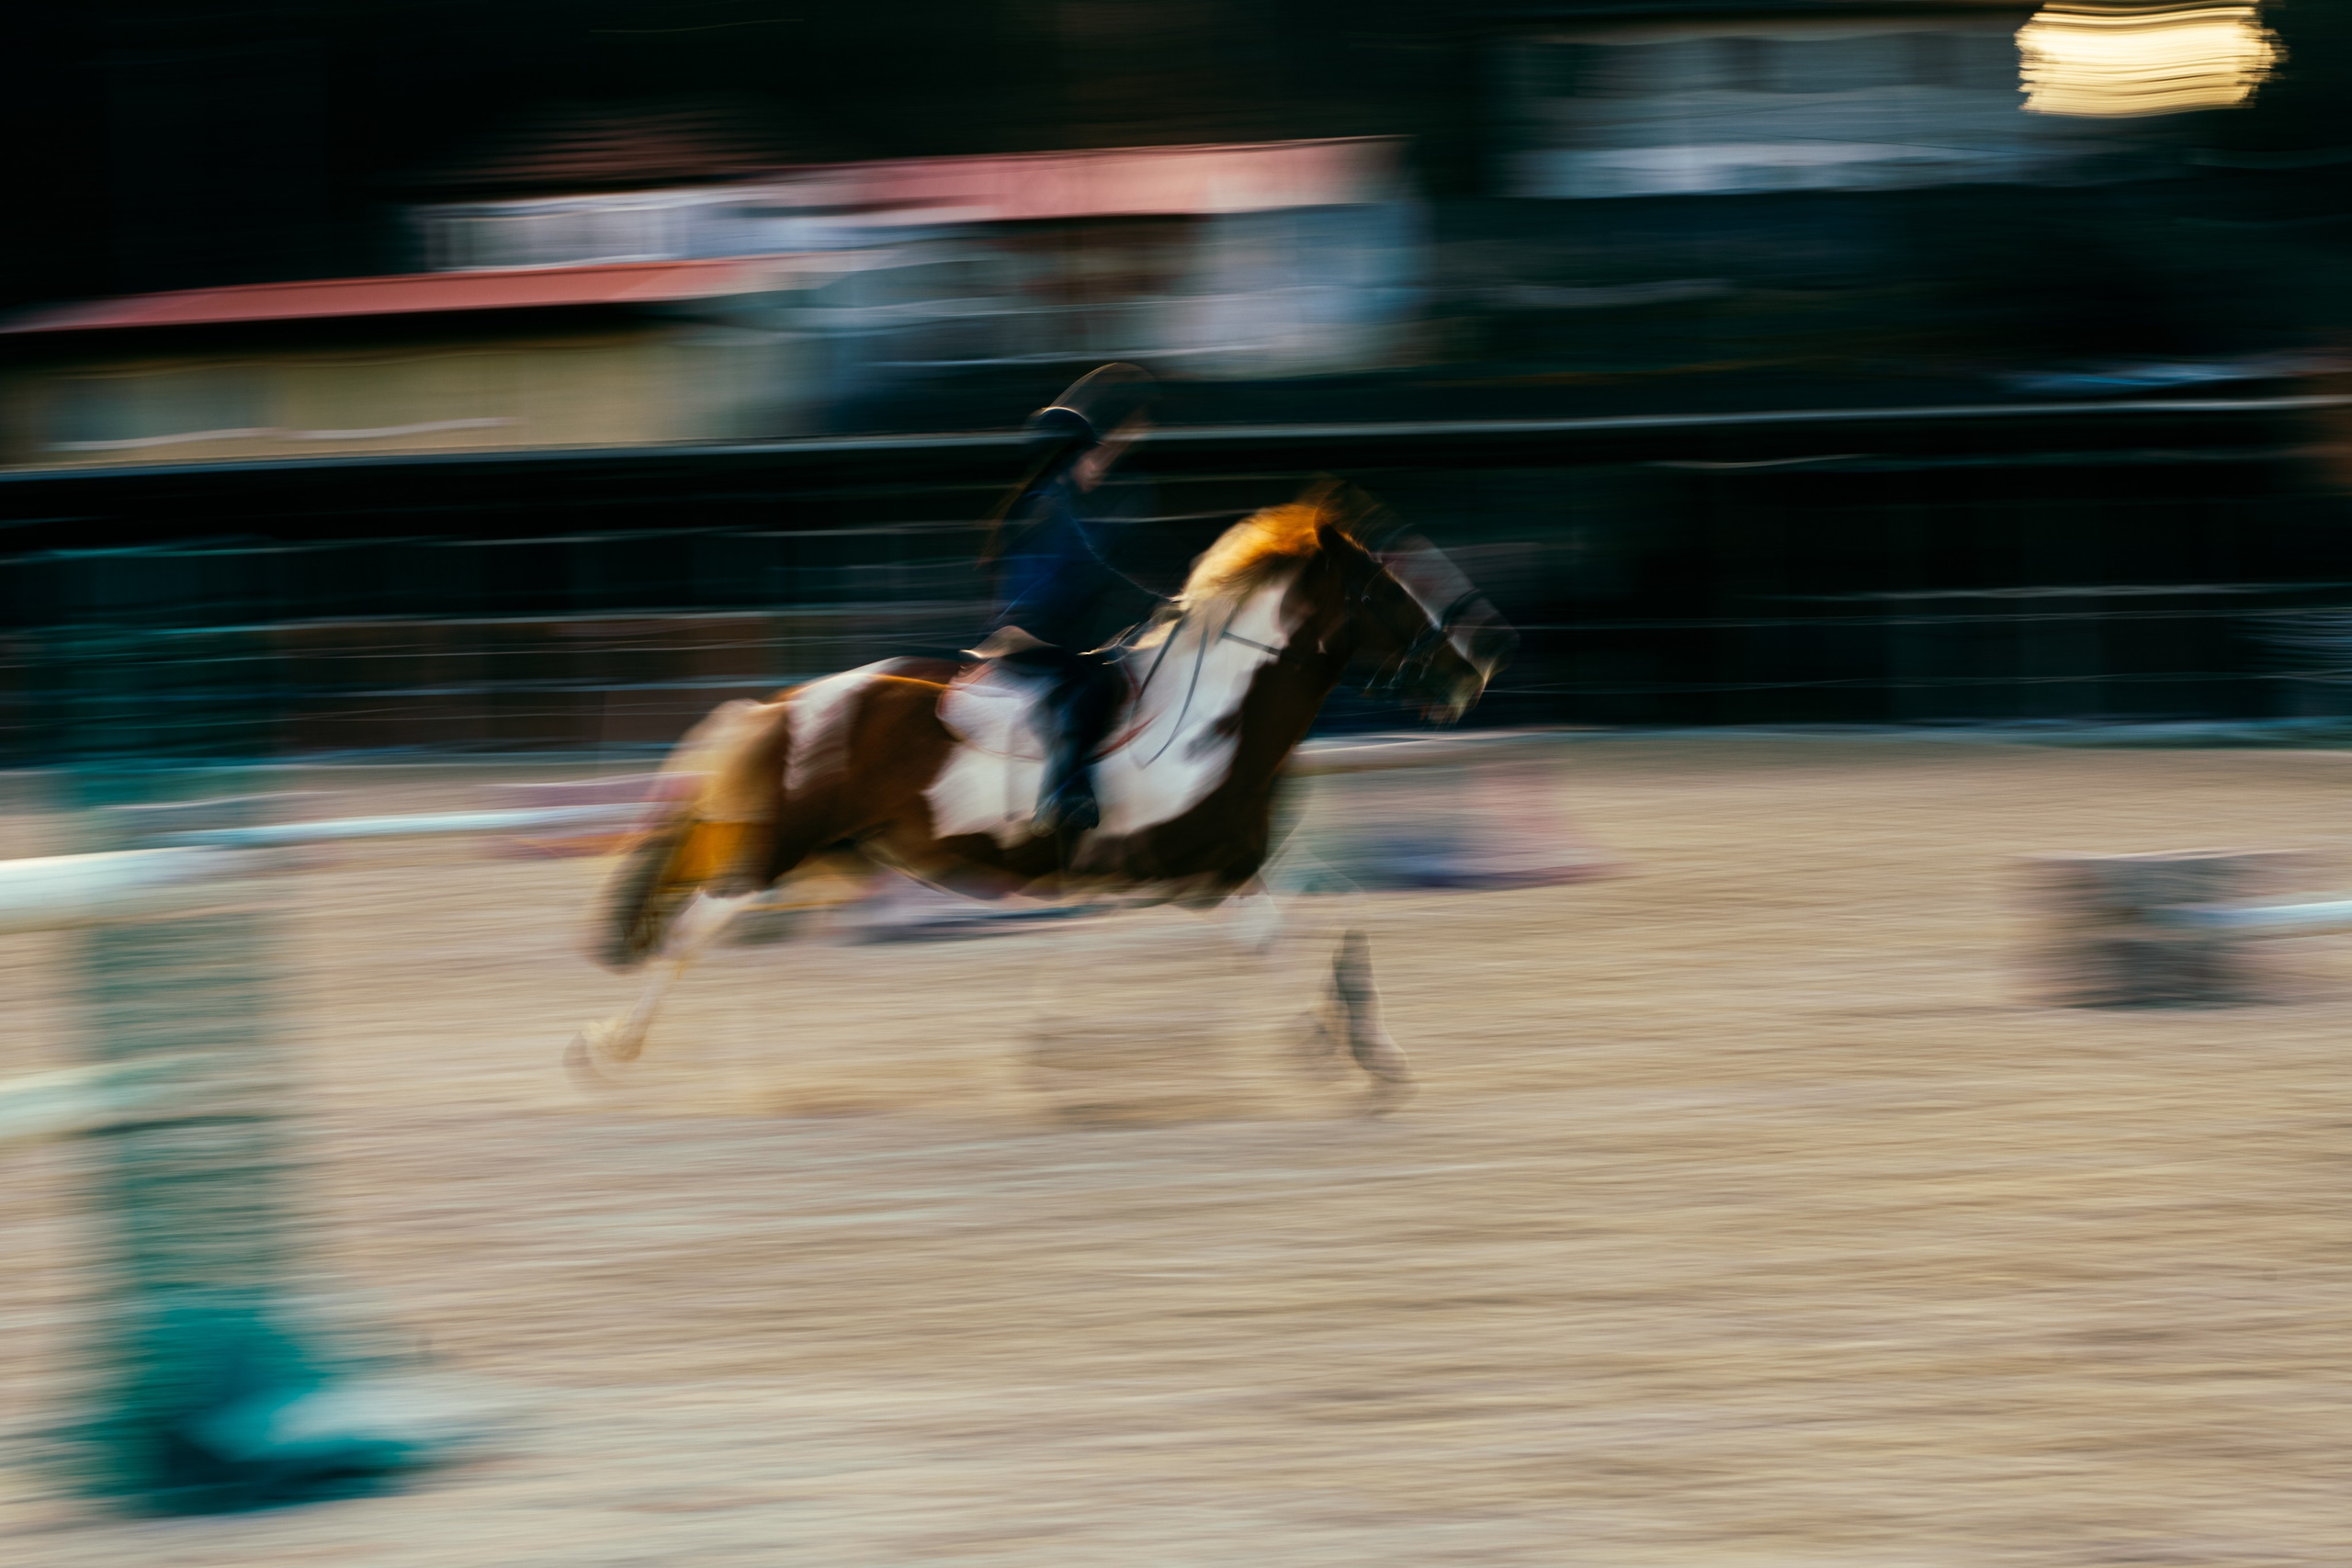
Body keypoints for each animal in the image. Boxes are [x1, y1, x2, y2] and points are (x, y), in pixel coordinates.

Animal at [574, 483, 1515, 1111]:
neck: (1213, 717)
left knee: (772, 949)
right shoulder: (1178, 873)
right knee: (697, 932)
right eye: (1388, 587)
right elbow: (1269, 944)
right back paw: (612, 1050)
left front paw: (1357, 1047)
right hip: (777, 854)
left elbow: (1336, 917)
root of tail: (782, 705)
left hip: (835, 861)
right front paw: (1326, 1047)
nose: (1476, 666)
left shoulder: (1218, 866)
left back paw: (774, 1079)